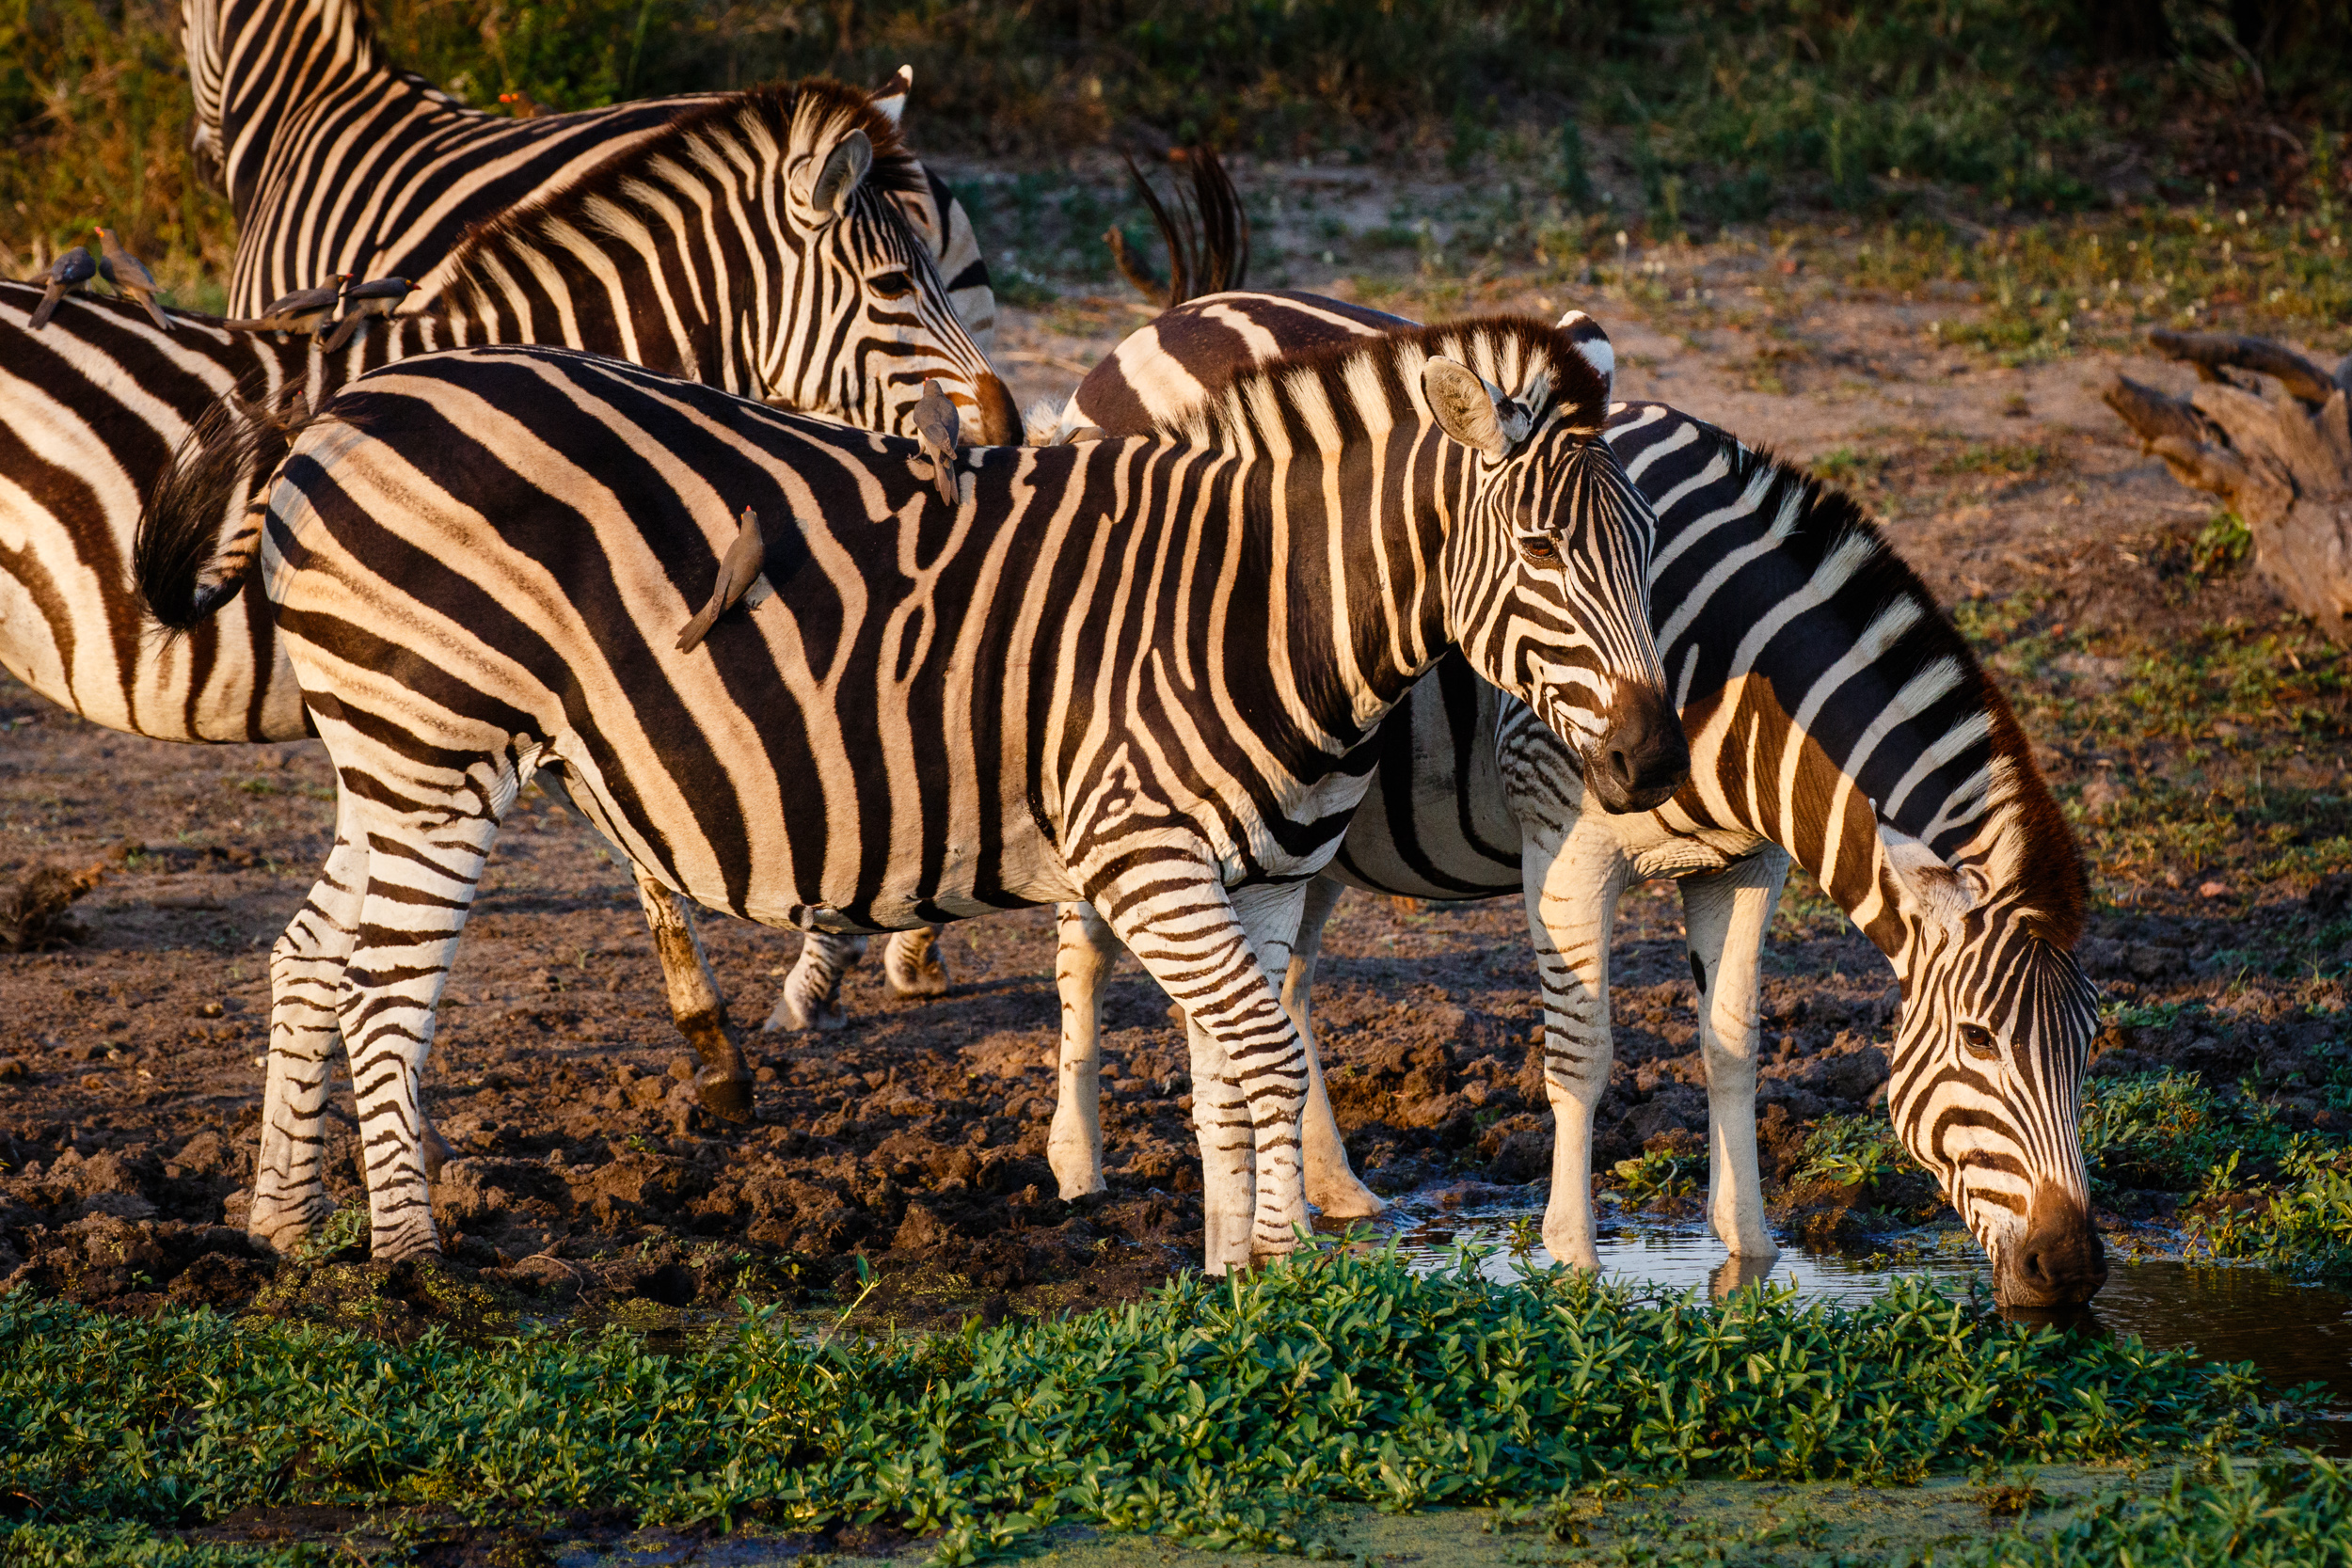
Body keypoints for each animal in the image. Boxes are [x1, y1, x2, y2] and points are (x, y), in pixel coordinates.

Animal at [136, 316, 1686, 1267]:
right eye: (1541, 552)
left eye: (1644, 541)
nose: (1653, 761)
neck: (1256, 602)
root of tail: (346, 405)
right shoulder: (1140, 850)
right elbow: (1262, 1053)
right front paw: (1291, 1279)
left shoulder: (1248, 870)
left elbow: (1221, 1076)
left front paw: (1229, 1268)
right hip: (434, 743)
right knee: (383, 985)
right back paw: (414, 1260)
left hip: (388, 758)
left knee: (307, 957)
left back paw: (281, 1224)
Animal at [1036, 290, 2108, 1310]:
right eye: (1977, 1040)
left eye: (2092, 1042)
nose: (2070, 1269)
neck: (1718, 667)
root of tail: (1168, 320)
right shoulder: (1566, 841)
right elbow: (1579, 1054)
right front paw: (1573, 1261)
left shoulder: (1745, 864)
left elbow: (1731, 1046)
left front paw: (1751, 1257)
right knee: (1087, 942)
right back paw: (1080, 1167)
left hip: (1314, 802)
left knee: (1285, 982)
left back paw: (1328, 1194)